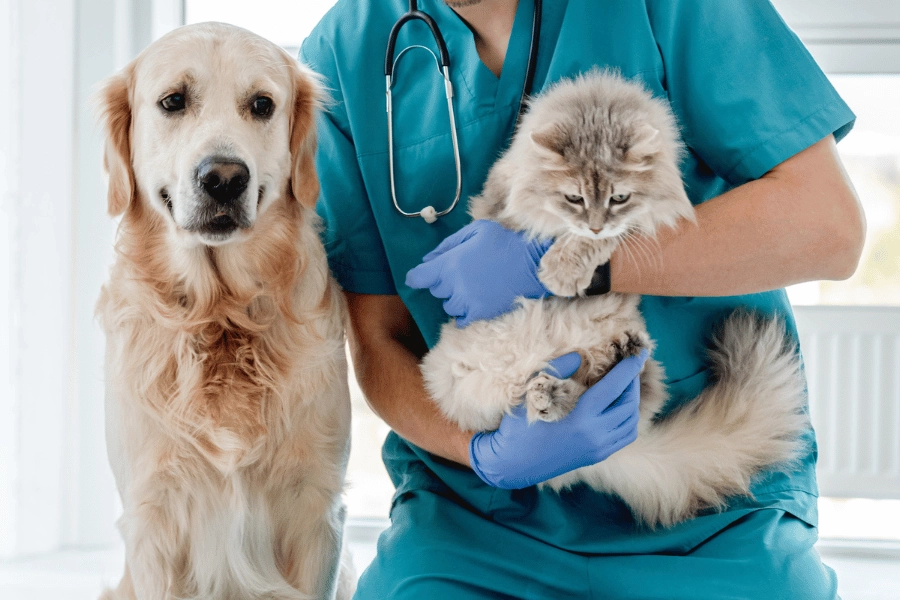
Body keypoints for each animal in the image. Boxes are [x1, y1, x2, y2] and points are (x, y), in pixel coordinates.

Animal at [96, 23, 356, 600]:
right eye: (173, 101)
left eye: (262, 105)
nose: (223, 177)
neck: (222, 315)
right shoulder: (153, 516)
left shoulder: (317, 510)